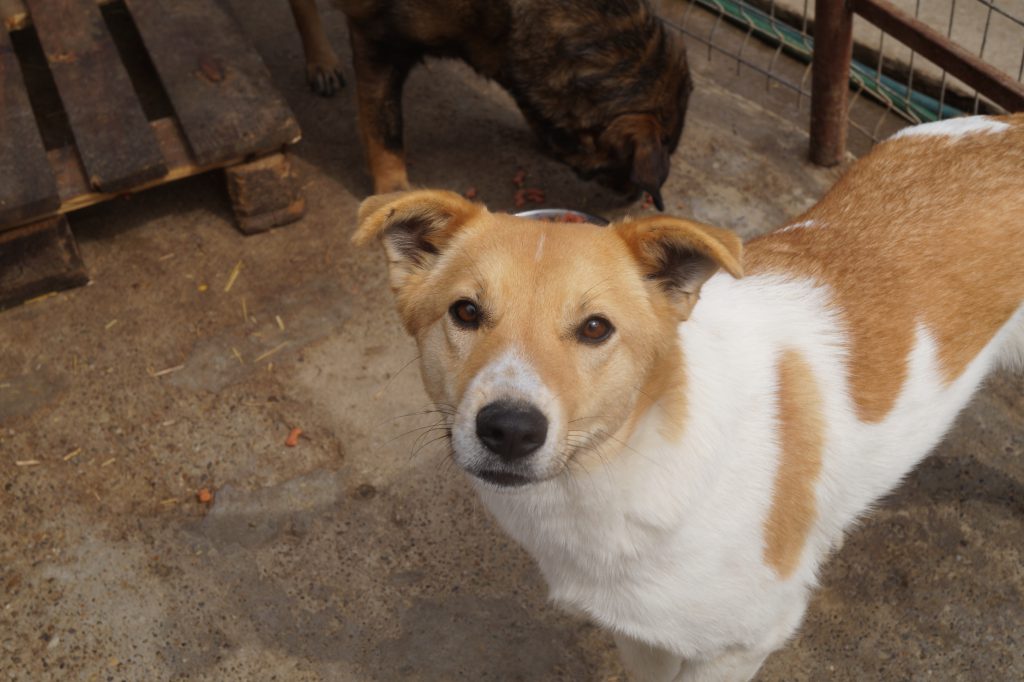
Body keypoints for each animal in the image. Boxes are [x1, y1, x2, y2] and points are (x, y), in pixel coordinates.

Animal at [288, 0, 692, 209]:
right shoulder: (377, 39)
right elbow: (384, 126)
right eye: (627, 163)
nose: (632, 199)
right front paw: (395, 192)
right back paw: (322, 64)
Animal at [353, 113, 1024, 680]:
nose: (510, 430)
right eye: (466, 312)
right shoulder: (639, 631)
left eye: (595, 327)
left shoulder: (740, 645)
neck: (624, 464)